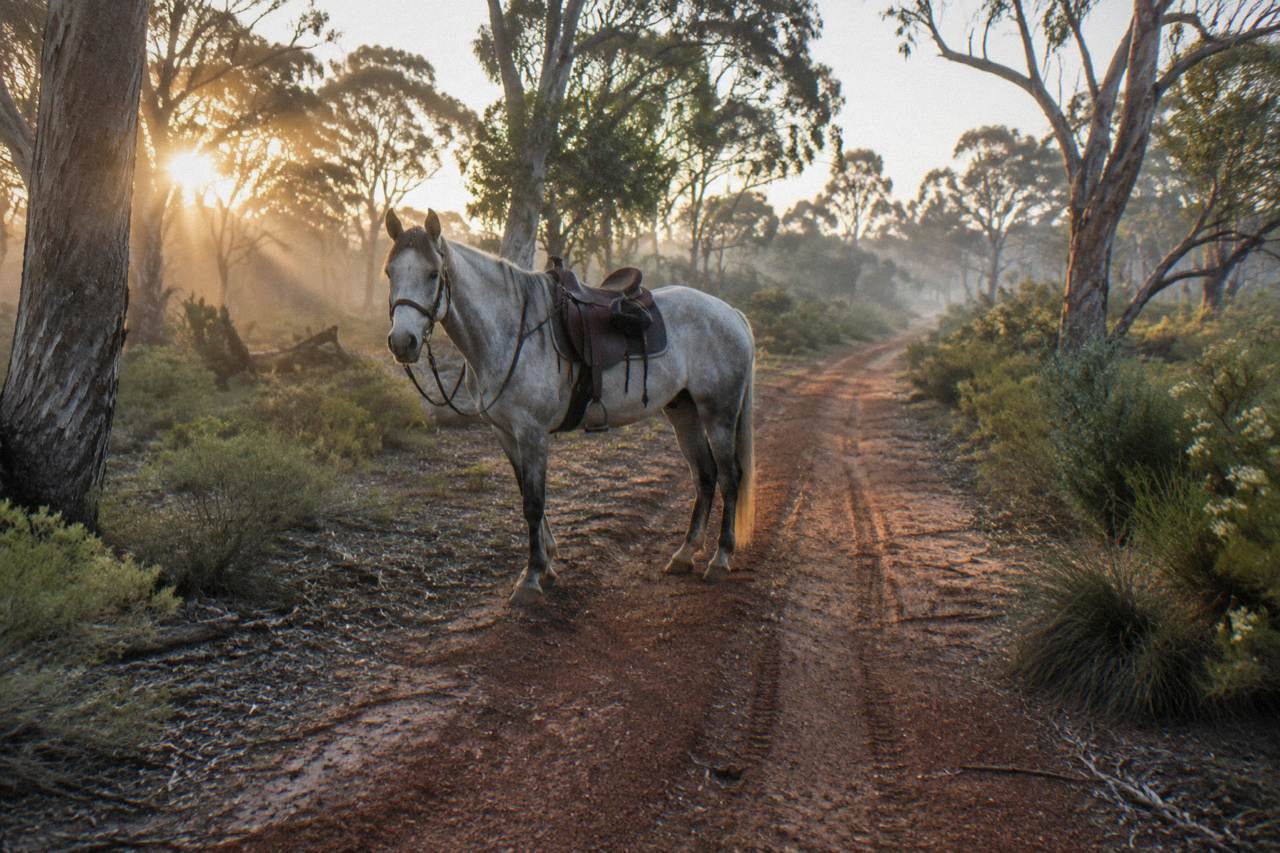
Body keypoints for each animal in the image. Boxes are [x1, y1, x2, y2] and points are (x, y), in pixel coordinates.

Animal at [383, 208, 756, 606]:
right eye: (390, 273)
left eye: (432, 274)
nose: (402, 342)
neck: (512, 330)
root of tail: (731, 313)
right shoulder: (505, 433)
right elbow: (527, 494)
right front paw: (547, 564)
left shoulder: (532, 433)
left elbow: (533, 502)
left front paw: (531, 578)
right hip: (684, 412)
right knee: (705, 476)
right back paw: (684, 554)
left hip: (719, 413)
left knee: (730, 477)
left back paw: (720, 558)